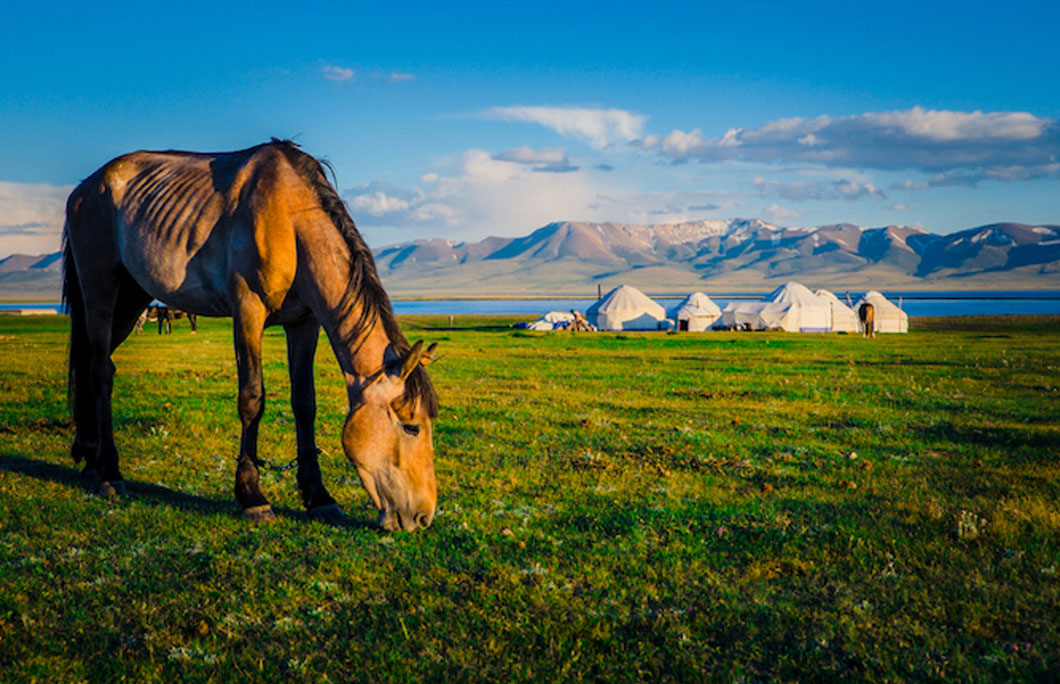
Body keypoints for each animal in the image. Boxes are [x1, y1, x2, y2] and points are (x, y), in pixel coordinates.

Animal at [60, 139, 440, 528]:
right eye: (411, 426)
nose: (423, 516)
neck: (291, 221)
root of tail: (84, 189)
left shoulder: (304, 323)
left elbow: (305, 403)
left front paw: (318, 497)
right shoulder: (248, 310)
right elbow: (252, 399)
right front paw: (251, 496)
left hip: (132, 298)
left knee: (92, 365)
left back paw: (90, 460)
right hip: (101, 291)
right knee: (101, 372)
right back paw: (109, 473)